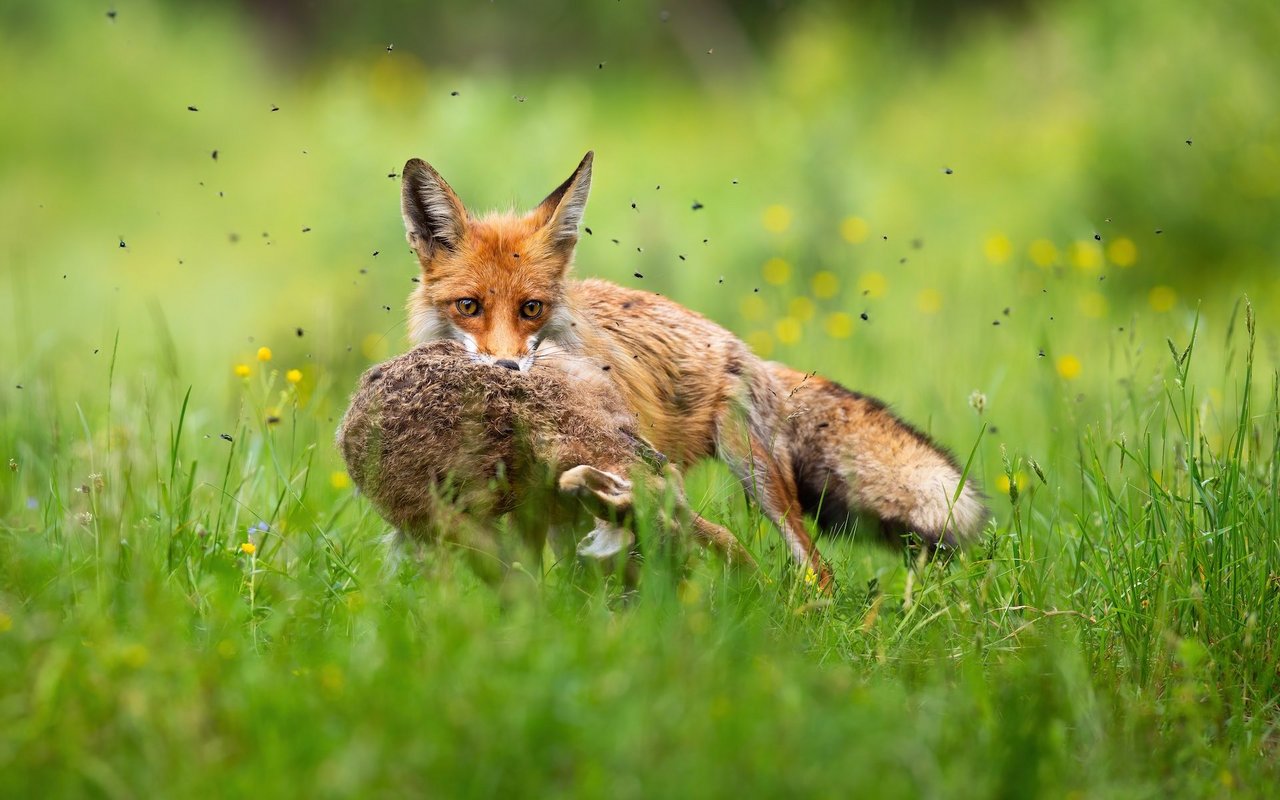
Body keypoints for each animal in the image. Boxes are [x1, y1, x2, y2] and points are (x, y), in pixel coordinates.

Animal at [399, 151, 988, 586]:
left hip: (753, 469)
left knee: (814, 567)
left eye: (531, 309)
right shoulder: (540, 495)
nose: (506, 366)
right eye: (469, 306)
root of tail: (745, 349)